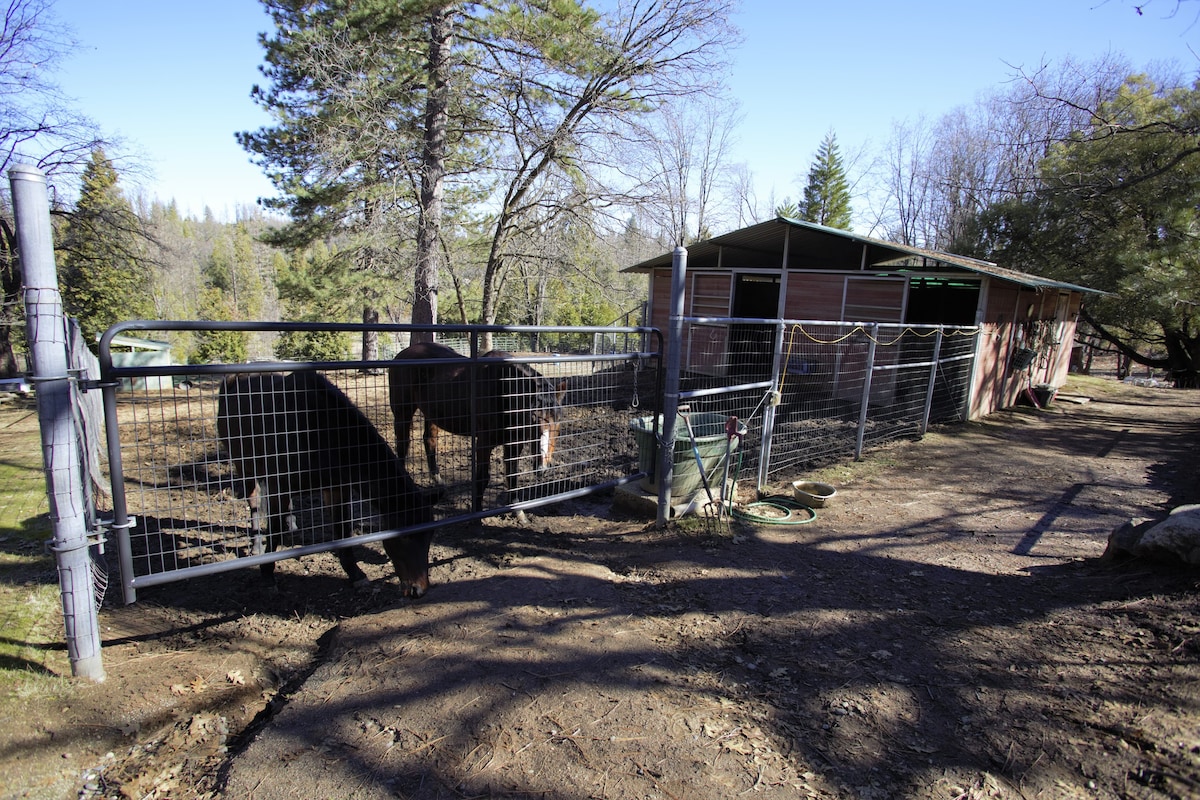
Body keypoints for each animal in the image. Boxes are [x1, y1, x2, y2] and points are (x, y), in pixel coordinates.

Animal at [218, 371, 439, 597]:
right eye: (404, 537)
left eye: (430, 533)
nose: (418, 589)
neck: (317, 430)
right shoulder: (280, 485)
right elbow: (274, 529)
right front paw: (267, 575)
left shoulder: (336, 487)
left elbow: (342, 529)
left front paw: (355, 575)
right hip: (244, 466)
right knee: (253, 503)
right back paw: (256, 545)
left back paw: (291, 526)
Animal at [388, 340, 566, 510]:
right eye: (533, 418)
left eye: (558, 420)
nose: (543, 467)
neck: (503, 391)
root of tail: (402, 354)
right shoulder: (484, 443)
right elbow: (482, 479)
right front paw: (478, 511)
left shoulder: (514, 444)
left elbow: (512, 474)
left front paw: (518, 510)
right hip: (403, 412)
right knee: (403, 445)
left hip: (431, 413)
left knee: (429, 440)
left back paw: (439, 481)